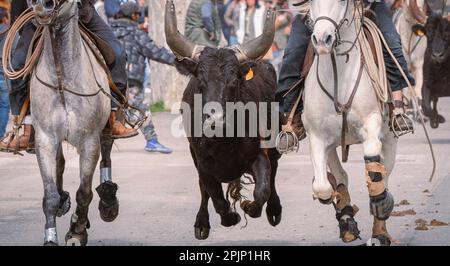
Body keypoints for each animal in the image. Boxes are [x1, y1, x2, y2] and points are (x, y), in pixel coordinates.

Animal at [27, 0, 119, 245]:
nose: (41, 6)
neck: (62, 78)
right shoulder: (45, 139)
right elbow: (49, 194)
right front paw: (51, 236)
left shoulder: (89, 141)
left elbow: (84, 192)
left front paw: (77, 230)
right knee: (60, 163)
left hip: (105, 129)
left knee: (107, 151)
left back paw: (108, 199)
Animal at [176, 46, 282, 240]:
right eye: (201, 82)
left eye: (234, 81)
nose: (215, 121)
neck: (223, 142)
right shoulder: (203, 164)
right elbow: (214, 196)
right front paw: (229, 218)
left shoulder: (259, 155)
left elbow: (263, 190)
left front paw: (249, 207)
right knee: (204, 191)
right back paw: (201, 223)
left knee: (273, 174)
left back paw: (274, 210)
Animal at [306, 0, 398, 245]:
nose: (322, 39)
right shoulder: (317, 137)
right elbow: (322, 187)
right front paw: (339, 204)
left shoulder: (372, 125)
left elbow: (375, 168)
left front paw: (382, 203)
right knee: (341, 176)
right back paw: (346, 220)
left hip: (391, 137)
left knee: (385, 171)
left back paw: (380, 230)